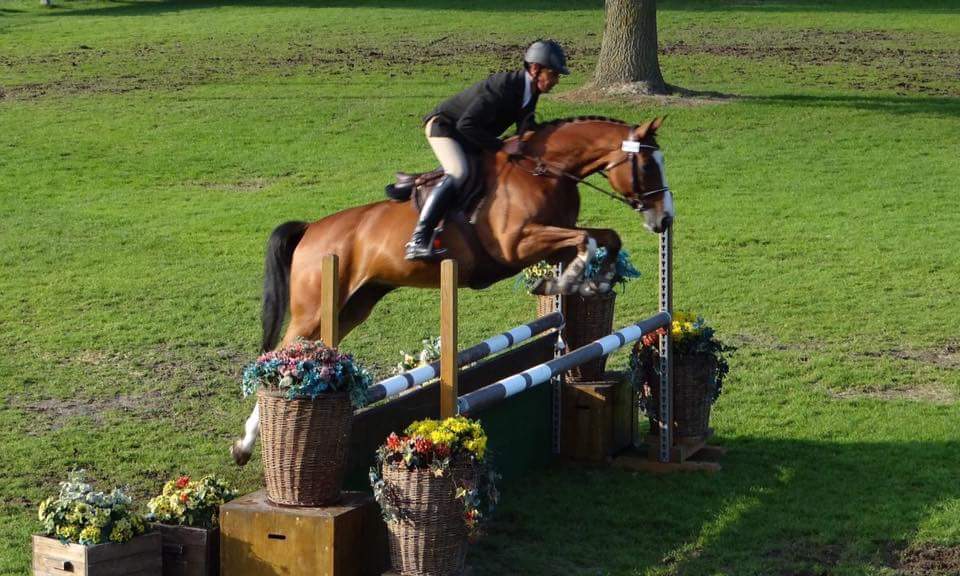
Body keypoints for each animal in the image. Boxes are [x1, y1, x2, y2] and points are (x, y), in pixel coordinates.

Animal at [231, 116, 676, 464]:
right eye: (647, 164)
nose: (665, 219)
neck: (544, 170)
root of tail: (311, 230)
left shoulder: (553, 238)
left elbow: (604, 237)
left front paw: (587, 280)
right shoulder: (518, 244)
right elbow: (588, 239)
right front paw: (567, 280)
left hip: (353, 307)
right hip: (314, 310)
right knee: (278, 355)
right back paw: (247, 443)